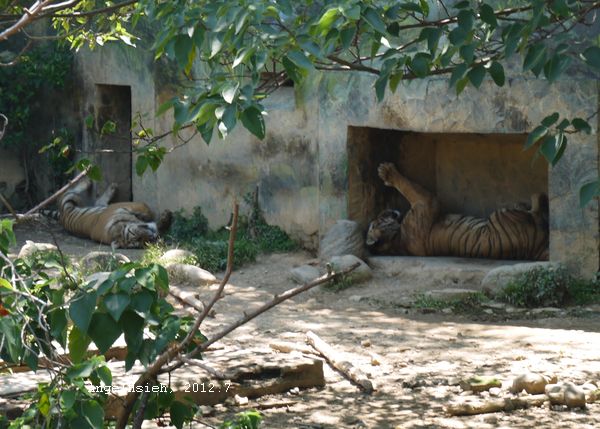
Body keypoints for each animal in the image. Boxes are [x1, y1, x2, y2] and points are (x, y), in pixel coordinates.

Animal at [366, 162, 548, 260]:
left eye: (375, 221)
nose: (388, 211)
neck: (396, 239)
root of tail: (537, 248)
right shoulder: (426, 202)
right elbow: (406, 185)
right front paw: (386, 171)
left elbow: (407, 186)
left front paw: (385, 172)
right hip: (503, 214)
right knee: (536, 206)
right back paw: (532, 199)